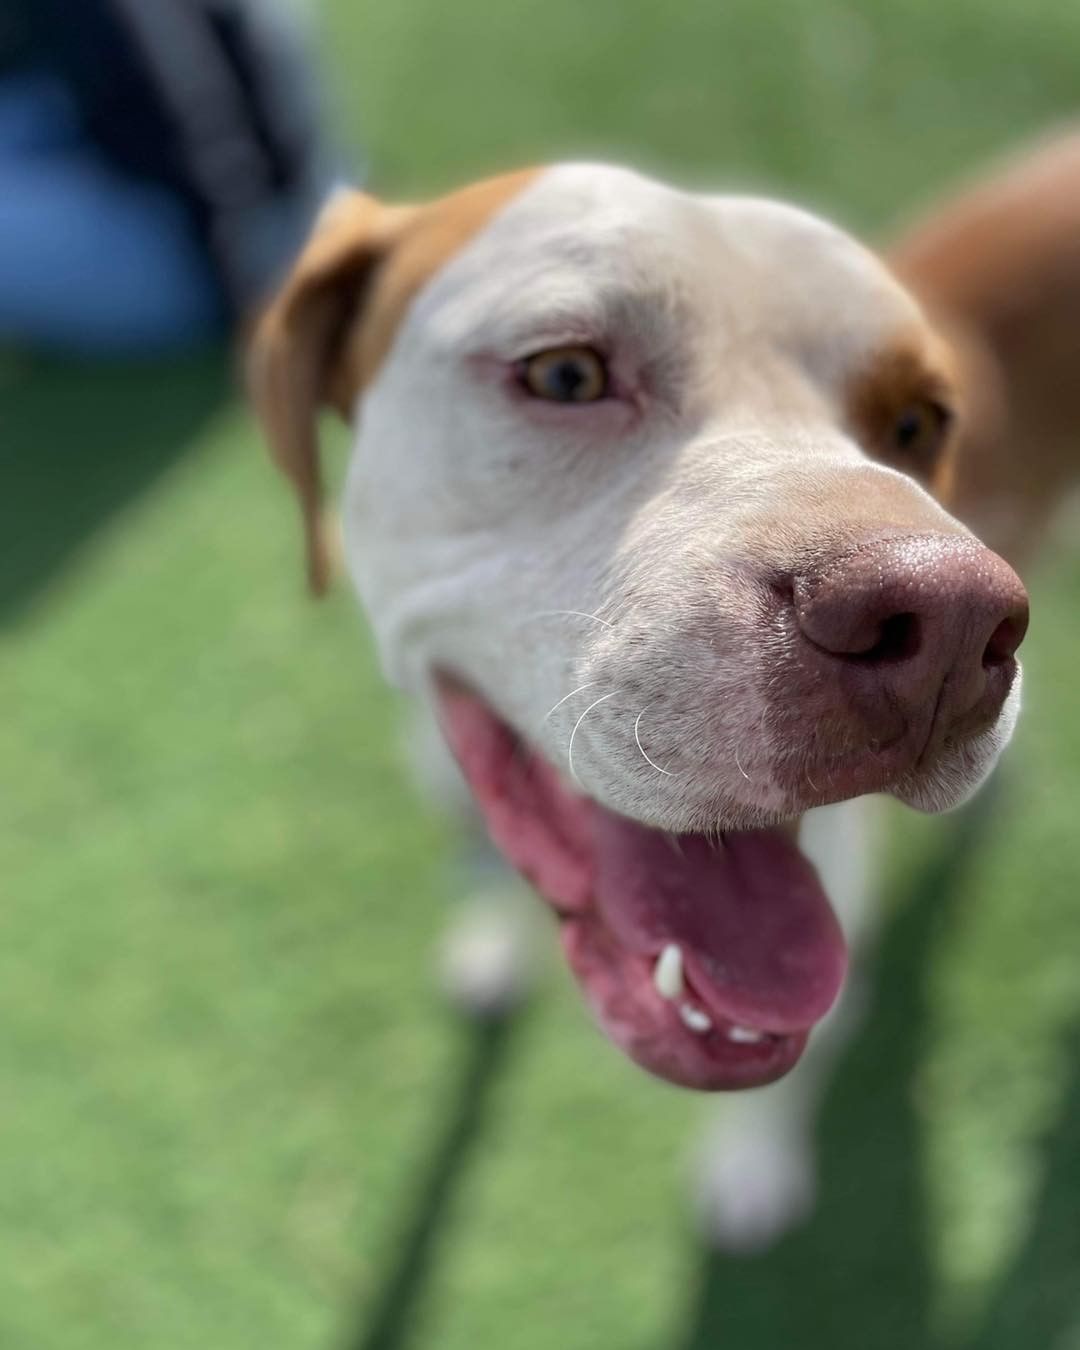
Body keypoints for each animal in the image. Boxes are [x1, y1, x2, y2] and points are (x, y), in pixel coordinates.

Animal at [248, 131, 1080, 1247]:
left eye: (917, 423)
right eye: (565, 372)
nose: (947, 621)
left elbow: (792, 1063)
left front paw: (751, 1167)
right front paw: (491, 944)